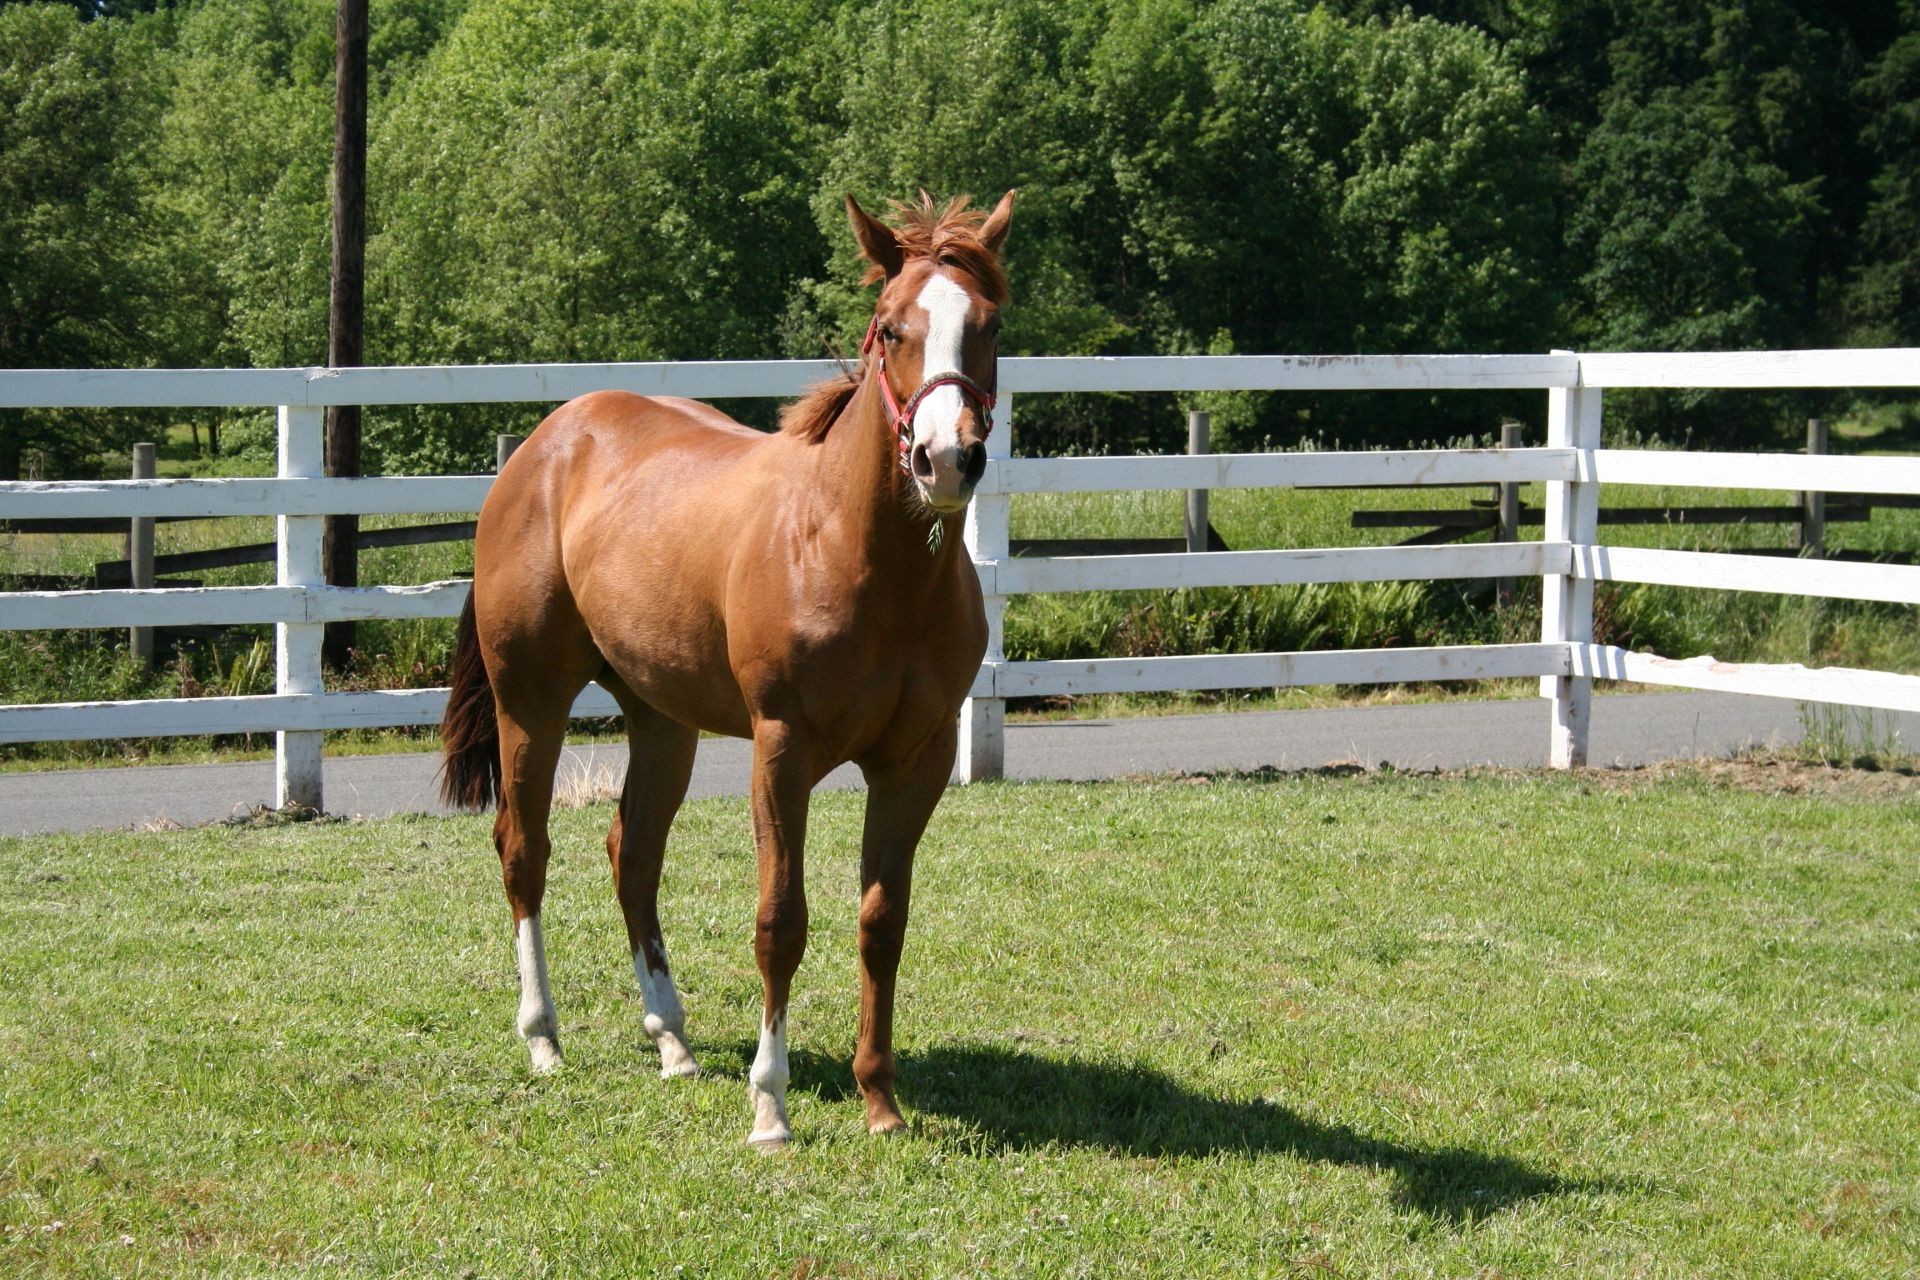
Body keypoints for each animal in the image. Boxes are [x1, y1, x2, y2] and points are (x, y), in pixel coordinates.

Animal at [439, 192, 1013, 1151]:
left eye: (989, 325)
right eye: (891, 326)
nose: (946, 459)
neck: (857, 554)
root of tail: (544, 445)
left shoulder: (917, 761)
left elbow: (881, 921)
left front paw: (880, 1100)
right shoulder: (780, 752)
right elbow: (781, 924)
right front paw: (770, 1107)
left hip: (662, 721)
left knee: (632, 855)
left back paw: (672, 1040)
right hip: (532, 704)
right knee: (525, 850)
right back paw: (544, 1038)